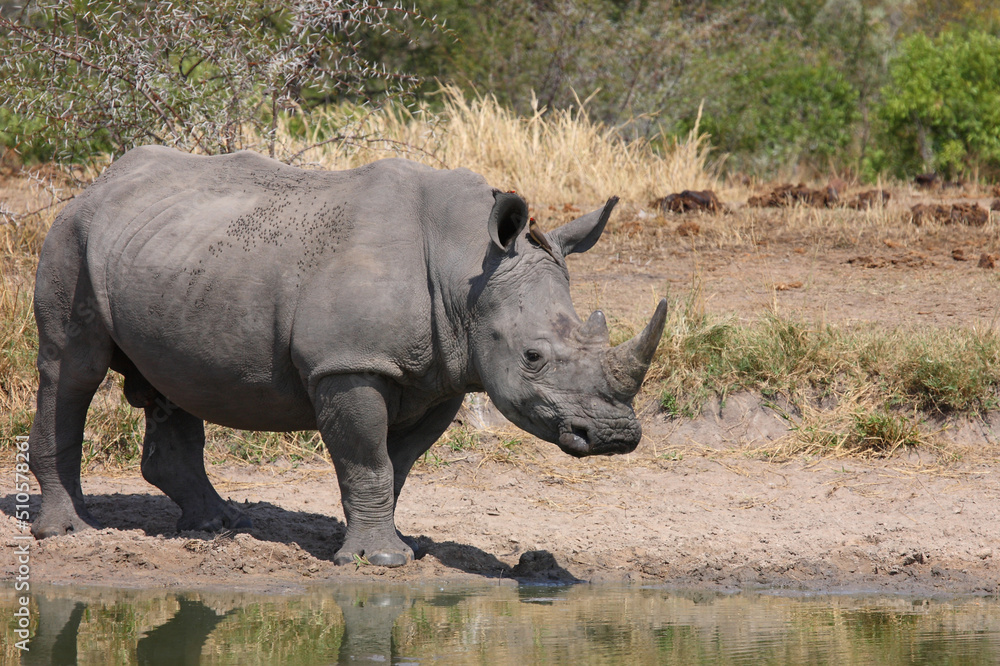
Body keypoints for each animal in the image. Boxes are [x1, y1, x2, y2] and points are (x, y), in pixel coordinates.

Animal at [28, 145, 667, 566]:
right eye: (533, 356)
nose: (614, 436)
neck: (466, 266)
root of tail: (97, 182)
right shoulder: (348, 362)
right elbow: (367, 458)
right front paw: (378, 561)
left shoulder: (443, 374)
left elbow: (397, 463)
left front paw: (392, 545)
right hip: (71, 235)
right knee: (72, 370)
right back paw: (69, 533)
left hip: (171, 255)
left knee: (171, 380)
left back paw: (218, 528)